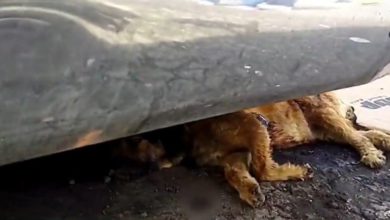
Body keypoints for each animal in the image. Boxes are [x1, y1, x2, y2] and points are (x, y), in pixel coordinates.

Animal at [114, 92, 388, 207]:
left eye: (134, 142)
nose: (114, 174)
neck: (189, 132)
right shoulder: (233, 156)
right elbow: (234, 172)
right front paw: (249, 190)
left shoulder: (255, 125)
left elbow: (263, 168)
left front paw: (294, 172)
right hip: (323, 127)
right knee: (360, 135)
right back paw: (383, 141)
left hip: (323, 116)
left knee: (357, 138)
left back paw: (371, 154)